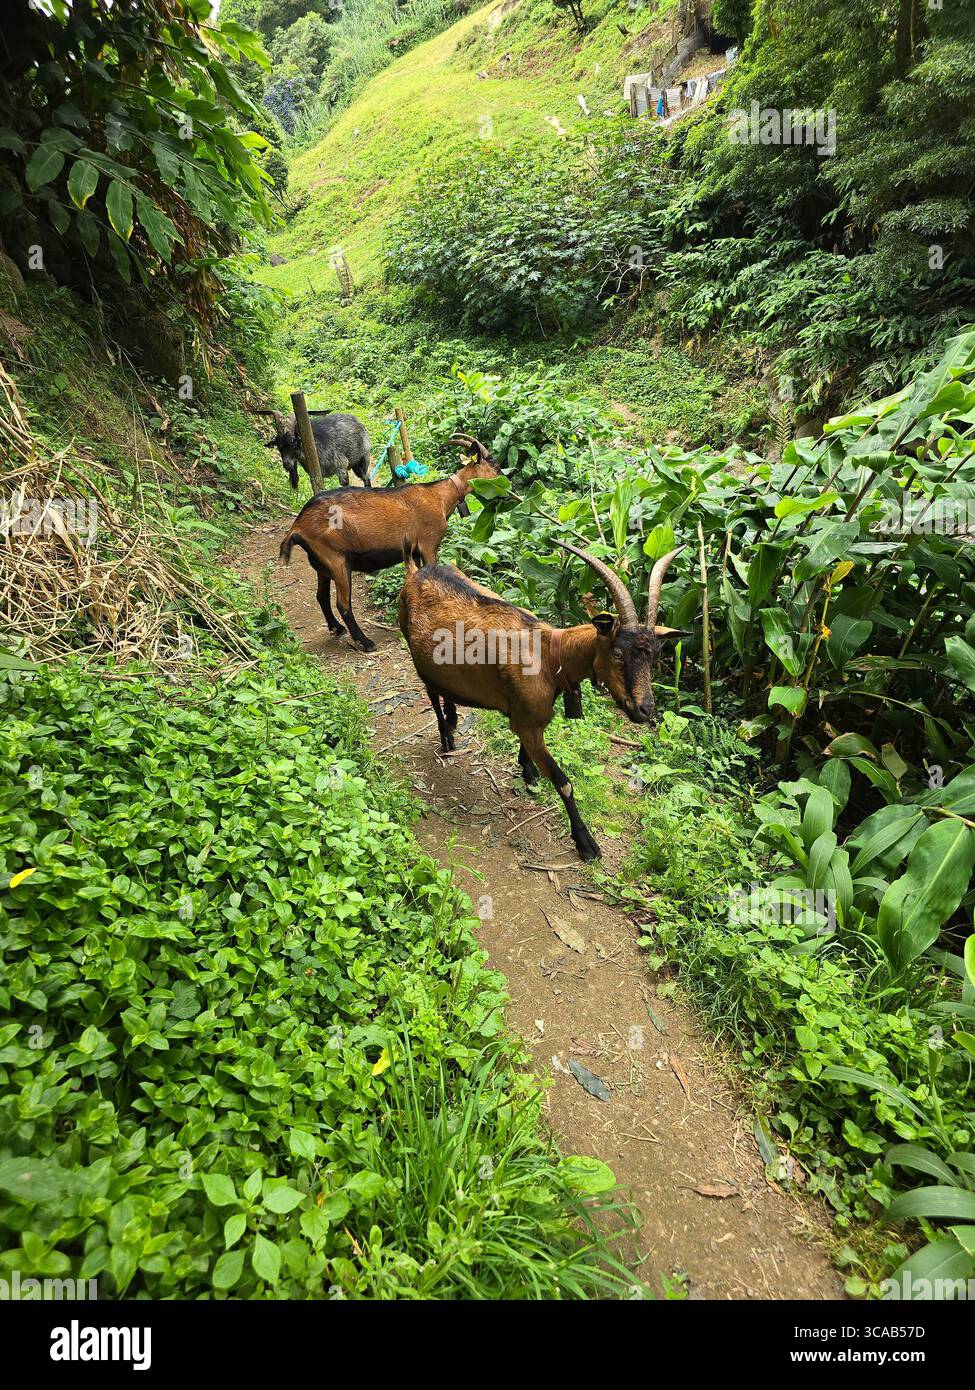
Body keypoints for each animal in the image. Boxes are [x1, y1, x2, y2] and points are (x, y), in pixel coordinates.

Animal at [278, 436, 499, 653]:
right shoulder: (428, 544)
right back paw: (365, 642)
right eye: (495, 466)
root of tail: (297, 526)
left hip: (321, 564)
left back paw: (337, 628)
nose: (507, 489)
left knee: (321, 596)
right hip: (336, 559)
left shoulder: (415, 551)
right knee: (343, 604)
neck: (439, 495)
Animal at [398, 540, 684, 860]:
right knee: (431, 693)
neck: (549, 655)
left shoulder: (531, 721)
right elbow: (564, 783)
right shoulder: (527, 723)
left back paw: (452, 717)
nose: (645, 709)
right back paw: (447, 736)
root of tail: (415, 572)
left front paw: (528, 771)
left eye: (655, 656)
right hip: (415, 653)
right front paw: (586, 843)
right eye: (618, 653)